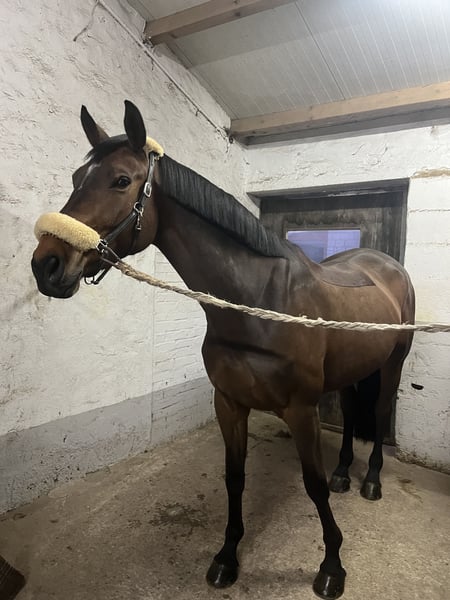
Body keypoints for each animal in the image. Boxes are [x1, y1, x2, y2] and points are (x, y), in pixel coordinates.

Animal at [31, 100, 415, 599]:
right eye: (78, 176)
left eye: (120, 180)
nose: (46, 264)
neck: (256, 302)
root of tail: (387, 266)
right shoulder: (229, 403)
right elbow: (235, 478)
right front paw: (227, 557)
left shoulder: (301, 409)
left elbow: (312, 485)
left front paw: (332, 565)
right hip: (351, 368)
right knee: (351, 414)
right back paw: (345, 474)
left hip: (392, 362)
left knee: (380, 410)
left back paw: (369, 481)